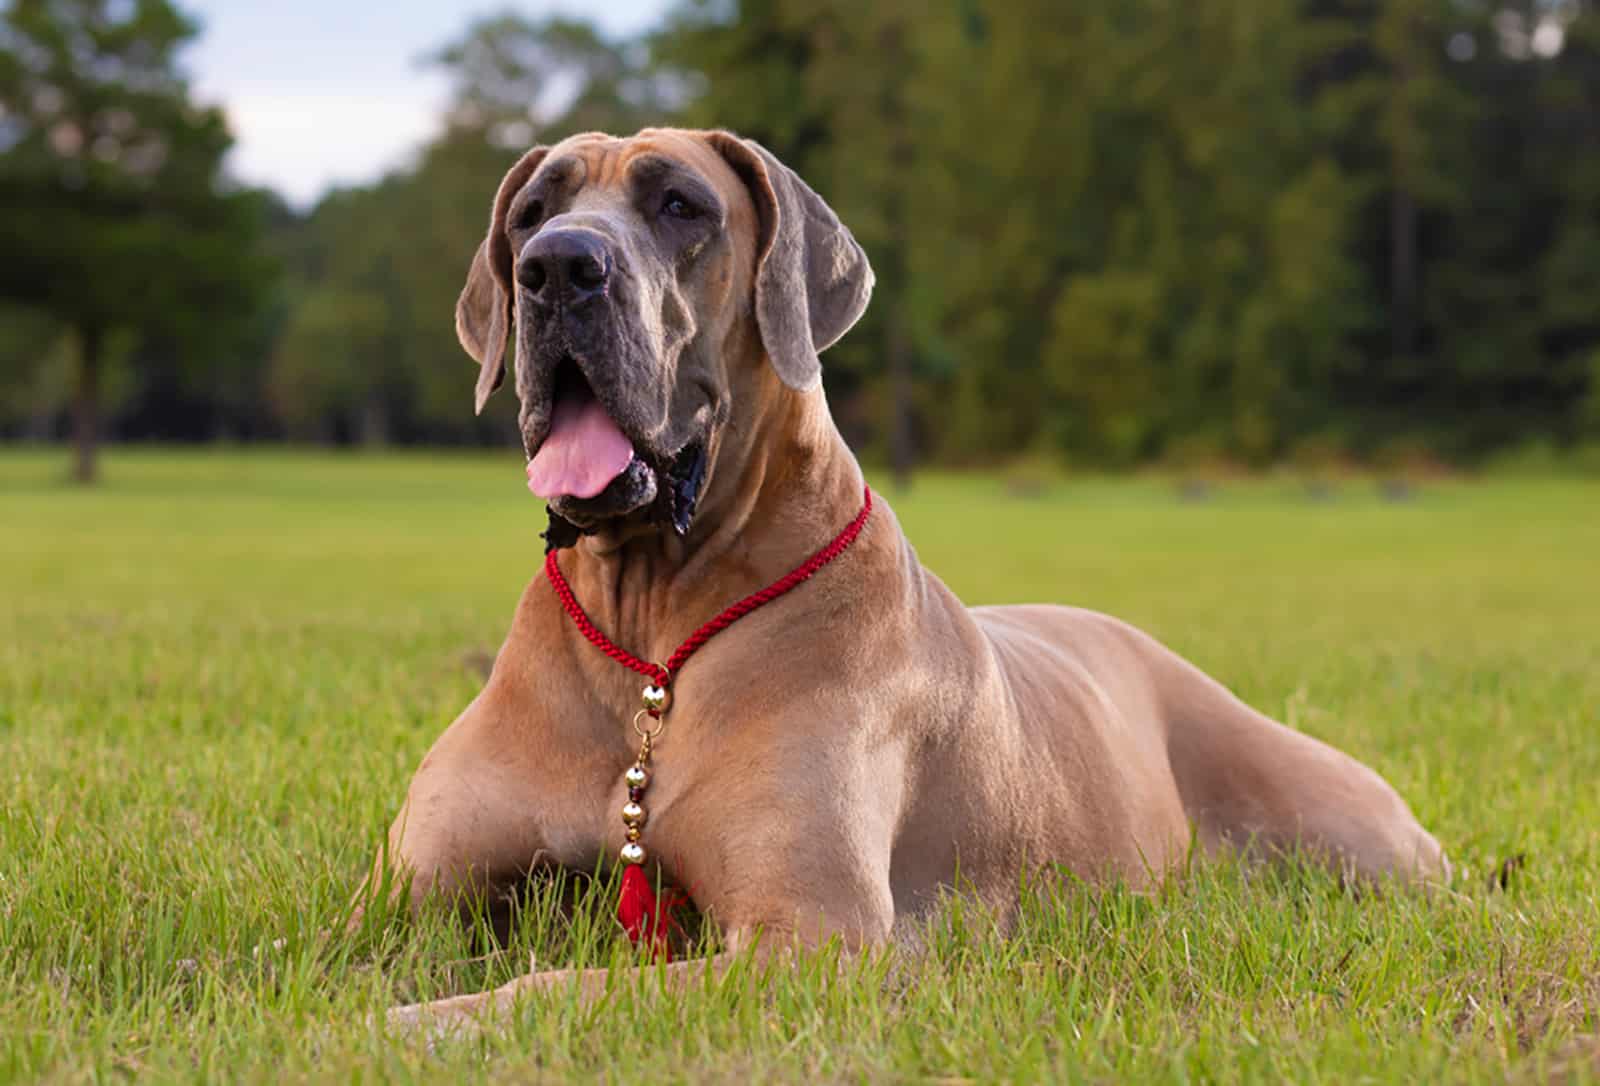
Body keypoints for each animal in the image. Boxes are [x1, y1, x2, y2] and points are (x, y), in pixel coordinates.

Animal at [377, 127, 1452, 1030]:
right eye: (530, 211)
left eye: (680, 205)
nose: (557, 265)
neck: (648, 637)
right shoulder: (401, 895)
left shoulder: (806, 938)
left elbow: (556, 987)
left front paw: (417, 1025)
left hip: (1351, 834)